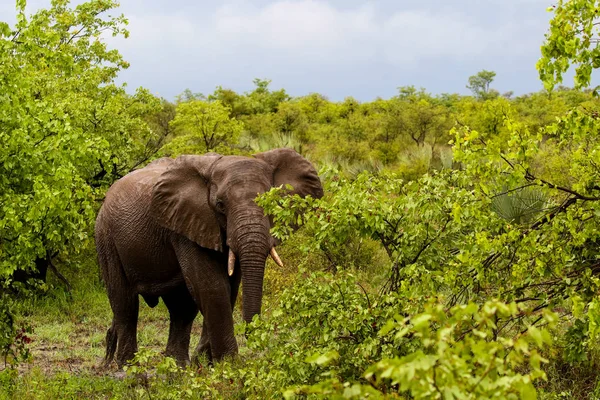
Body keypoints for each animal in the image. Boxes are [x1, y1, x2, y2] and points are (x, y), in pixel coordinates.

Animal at [95, 148, 324, 368]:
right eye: (220, 205)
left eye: (272, 201)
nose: (252, 335)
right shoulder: (186, 224)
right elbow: (212, 285)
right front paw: (229, 364)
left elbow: (230, 287)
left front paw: (207, 362)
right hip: (106, 237)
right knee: (125, 303)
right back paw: (128, 367)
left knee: (181, 308)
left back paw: (178, 365)